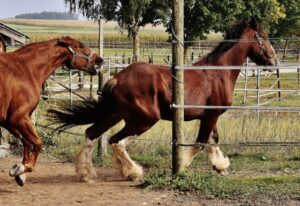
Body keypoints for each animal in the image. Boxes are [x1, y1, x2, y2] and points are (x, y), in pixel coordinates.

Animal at [0, 36, 102, 186]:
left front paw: (20, 173)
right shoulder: (18, 118)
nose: (100, 59)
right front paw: (24, 168)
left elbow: (26, 142)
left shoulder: (10, 121)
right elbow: (37, 143)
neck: (26, 69)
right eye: (81, 45)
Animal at [49, 18, 278, 182]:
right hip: (144, 120)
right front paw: (182, 167)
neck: (217, 73)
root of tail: (117, 77)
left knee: (92, 133)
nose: (274, 61)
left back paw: (87, 174)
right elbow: (201, 143)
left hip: (116, 115)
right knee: (117, 141)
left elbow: (213, 140)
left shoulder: (209, 115)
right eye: (264, 36)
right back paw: (133, 172)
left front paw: (220, 166)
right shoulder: (211, 115)